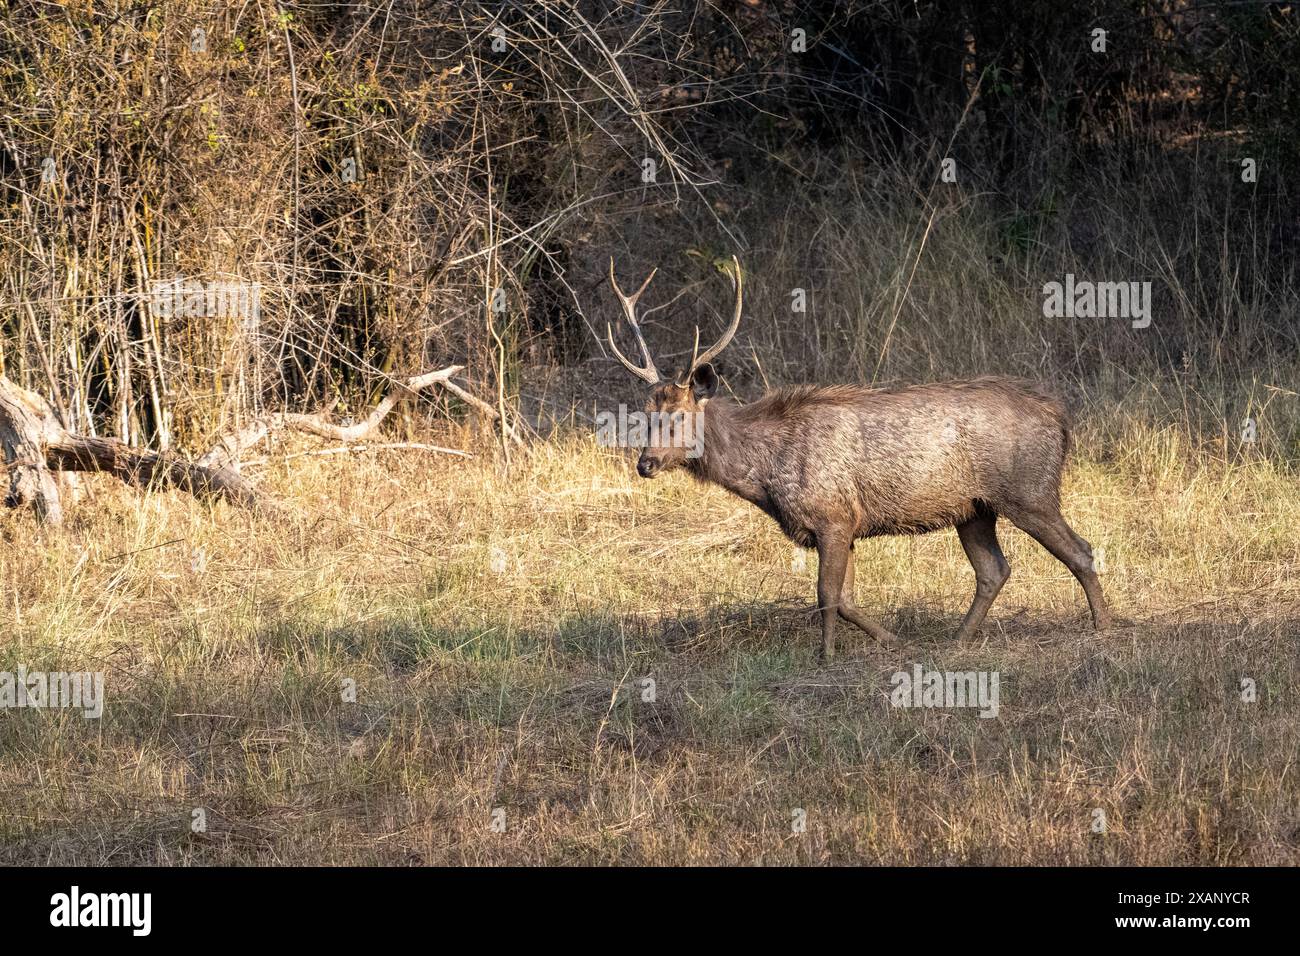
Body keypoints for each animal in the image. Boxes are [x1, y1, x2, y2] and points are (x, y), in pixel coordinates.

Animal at [603, 256, 1112, 658]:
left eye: (679, 415)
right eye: (646, 413)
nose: (645, 464)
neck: (767, 475)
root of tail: (1060, 418)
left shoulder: (832, 516)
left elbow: (826, 594)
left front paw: (825, 657)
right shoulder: (844, 526)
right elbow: (846, 599)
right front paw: (893, 642)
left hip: (1030, 490)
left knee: (1081, 550)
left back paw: (1103, 626)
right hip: (974, 509)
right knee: (993, 570)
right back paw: (957, 640)